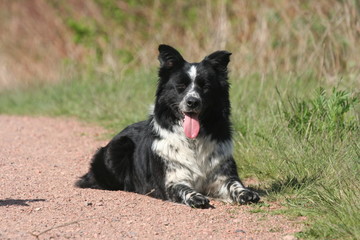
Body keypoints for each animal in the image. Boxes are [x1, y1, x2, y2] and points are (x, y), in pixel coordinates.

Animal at [76, 45, 258, 208]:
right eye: (180, 86)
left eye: (205, 86)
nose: (192, 102)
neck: (193, 141)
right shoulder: (171, 181)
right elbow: (183, 188)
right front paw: (195, 197)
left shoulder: (222, 175)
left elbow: (235, 184)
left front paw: (246, 193)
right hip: (119, 148)